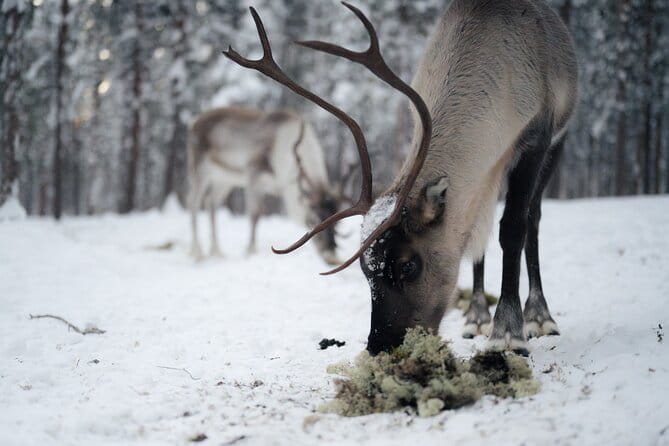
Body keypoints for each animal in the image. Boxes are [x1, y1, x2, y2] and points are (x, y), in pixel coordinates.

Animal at [187, 106, 352, 265]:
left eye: (338, 223)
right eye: (313, 219)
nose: (331, 257)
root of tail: (195, 122)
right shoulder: (253, 173)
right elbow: (255, 214)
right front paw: (250, 251)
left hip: (224, 179)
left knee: (211, 204)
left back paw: (216, 252)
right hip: (200, 168)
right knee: (194, 204)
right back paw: (197, 252)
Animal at [224, 0, 578, 356]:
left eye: (408, 265)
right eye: (365, 270)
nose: (380, 345)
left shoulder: (538, 136)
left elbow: (515, 227)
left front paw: (508, 332)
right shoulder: (484, 174)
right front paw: (484, 319)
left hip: (556, 142)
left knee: (531, 218)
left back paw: (539, 316)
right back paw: (477, 316)